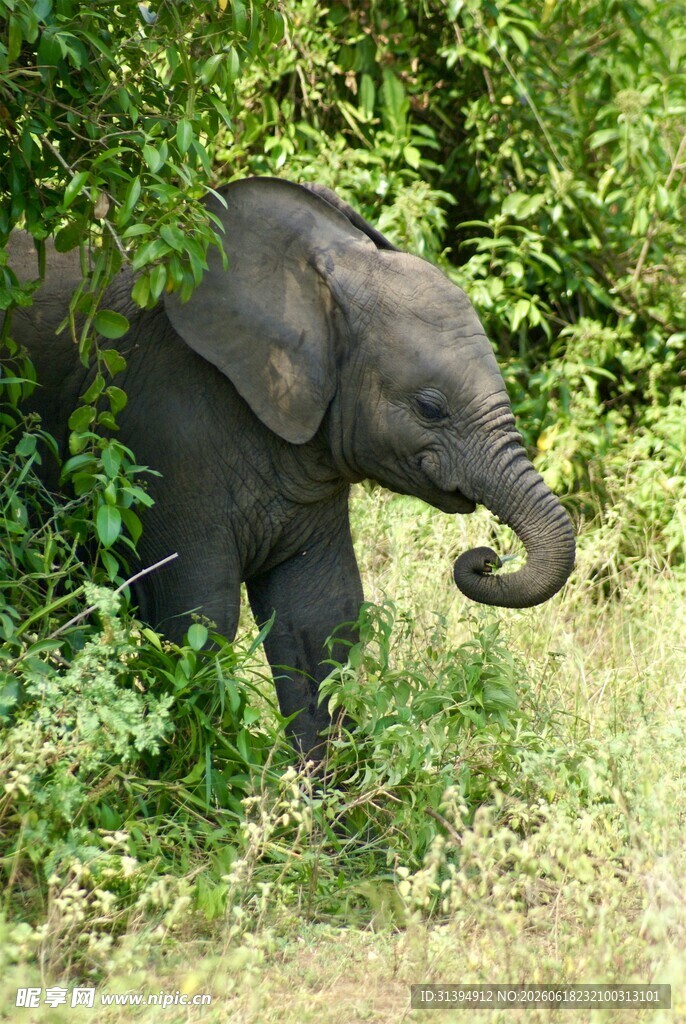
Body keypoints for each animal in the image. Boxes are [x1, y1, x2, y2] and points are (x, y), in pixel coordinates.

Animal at [3, 177, 575, 758]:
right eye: (430, 408)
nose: (487, 559)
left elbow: (320, 616)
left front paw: (322, 784)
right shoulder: (160, 429)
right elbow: (197, 611)